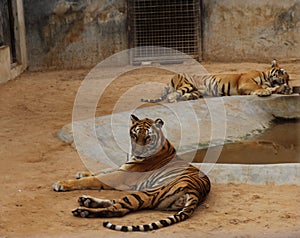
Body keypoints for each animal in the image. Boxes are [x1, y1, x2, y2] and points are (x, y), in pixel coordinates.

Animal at [52, 114, 211, 231]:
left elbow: (93, 179)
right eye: (134, 135)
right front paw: (81, 173)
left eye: (148, 137)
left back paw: (83, 211)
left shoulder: (120, 175)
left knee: (118, 210)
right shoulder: (122, 167)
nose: (138, 152)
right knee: (116, 202)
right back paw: (87, 201)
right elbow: (102, 170)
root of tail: (196, 192)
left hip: (148, 192)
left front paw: (61, 183)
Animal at [142, 59, 292, 102]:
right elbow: (257, 87)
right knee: (173, 93)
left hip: (196, 91)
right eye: (282, 73)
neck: (267, 79)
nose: (286, 82)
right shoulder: (246, 82)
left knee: (187, 94)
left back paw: (186, 98)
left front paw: (285, 89)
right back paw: (172, 99)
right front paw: (264, 92)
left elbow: (273, 88)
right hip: (187, 84)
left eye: (288, 79)